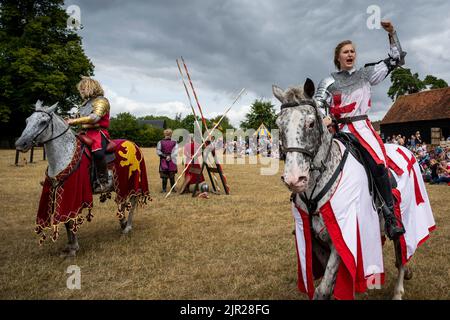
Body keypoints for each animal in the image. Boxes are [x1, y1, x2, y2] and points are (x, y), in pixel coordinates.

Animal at [15, 101, 149, 256]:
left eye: (43, 122)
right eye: (27, 121)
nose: (20, 144)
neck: (65, 154)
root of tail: (134, 145)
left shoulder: (71, 194)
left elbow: (70, 220)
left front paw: (74, 248)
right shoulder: (59, 192)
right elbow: (66, 221)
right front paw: (69, 245)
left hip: (132, 182)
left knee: (132, 201)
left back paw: (127, 227)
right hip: (120, 185)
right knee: (122, 201)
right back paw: (122, 222)